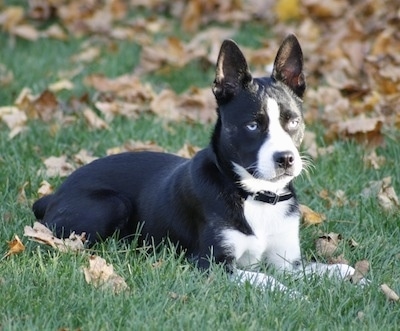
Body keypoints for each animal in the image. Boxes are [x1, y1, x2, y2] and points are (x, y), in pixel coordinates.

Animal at [32, 33, 364, 294]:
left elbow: (331, 268)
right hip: (111, 204)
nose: (286, 159)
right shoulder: (210, 263)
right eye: (253, 125)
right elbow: (266, 279)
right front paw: (295, 297)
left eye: (292, 121)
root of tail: (56, 193)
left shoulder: (286, 262)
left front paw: (358, 280)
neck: (254, 195)